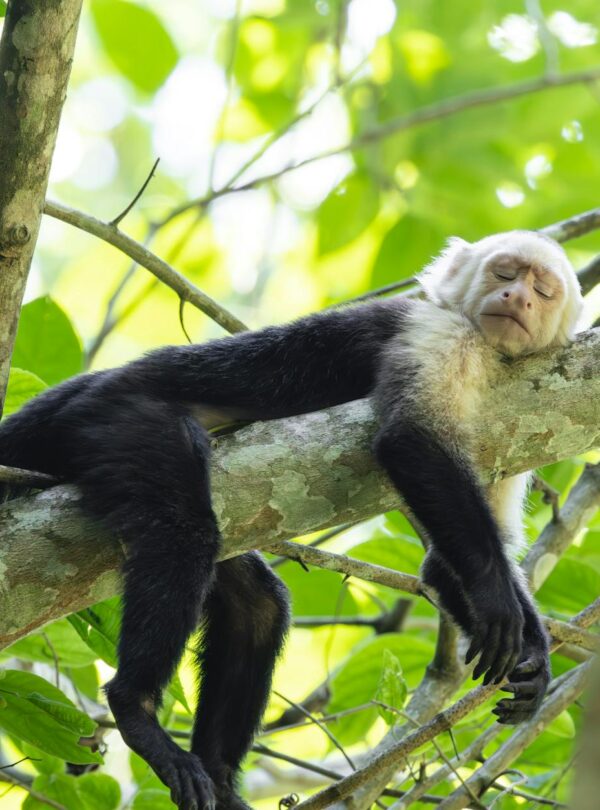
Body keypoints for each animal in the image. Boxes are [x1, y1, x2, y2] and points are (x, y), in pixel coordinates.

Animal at [0, 227, 580, 808]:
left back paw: (219, 776)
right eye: (505, 273)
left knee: (258, 603)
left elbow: (441, 566)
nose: (516, 297)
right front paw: (499, 601)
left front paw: (532, 660)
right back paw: (136, 710)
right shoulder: (439, 335)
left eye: (543, 290)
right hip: (115, 417)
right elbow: (410, 441)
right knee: (183, 532)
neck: (491, 353)